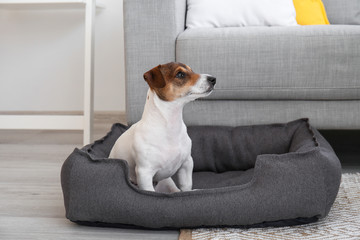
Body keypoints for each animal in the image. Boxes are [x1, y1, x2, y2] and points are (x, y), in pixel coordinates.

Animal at [108, 62, 215, 193]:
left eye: (192, 70)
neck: (170, 125)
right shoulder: (145, 173)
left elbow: (185, 187)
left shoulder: (187, 163)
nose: (213, 79)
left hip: (167, 182)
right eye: (180, 74)